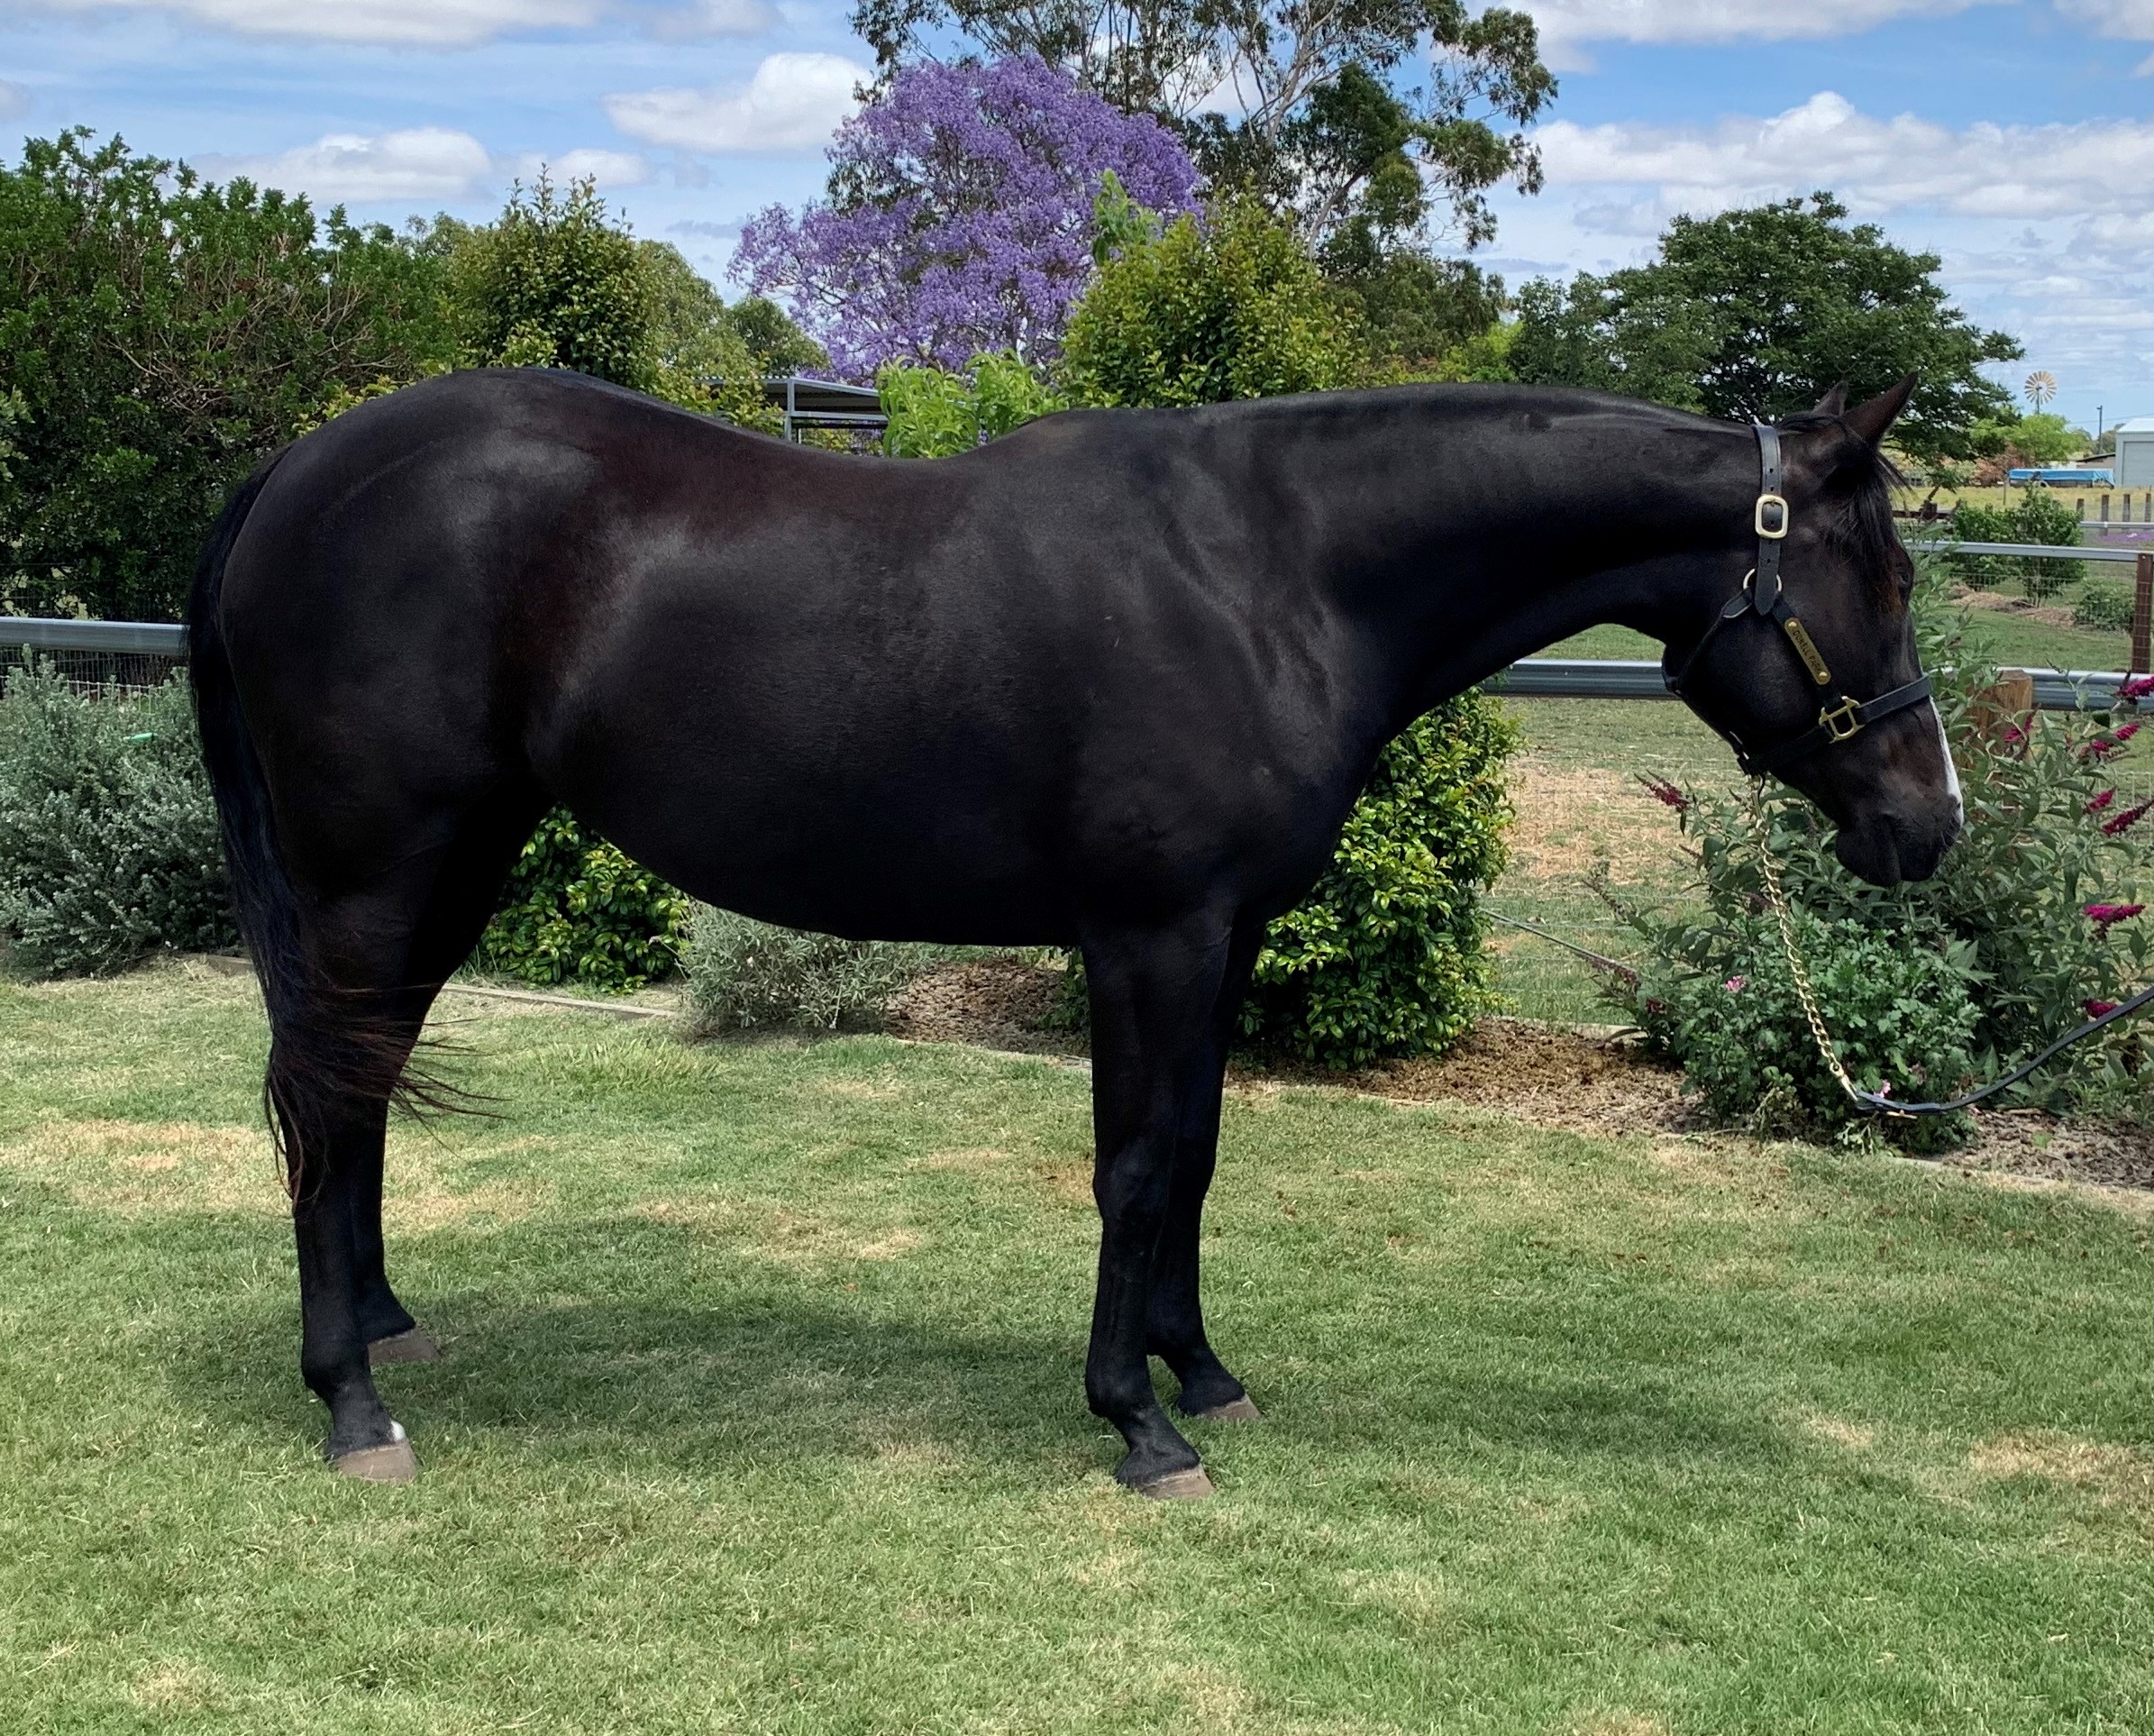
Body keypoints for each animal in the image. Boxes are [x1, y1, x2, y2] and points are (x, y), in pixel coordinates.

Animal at [188, 369, 1959, 1496]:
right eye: (1879, 573)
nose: (1926, 826)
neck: (1273, 573)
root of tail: (299, 472)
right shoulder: (1147, 936)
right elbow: (1133, 1166)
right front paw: (1140, 1427)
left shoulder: (1221, 938)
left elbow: (1198, 1155)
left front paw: (1201, 1370)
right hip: (378, 867)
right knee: (331, 1097)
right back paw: (350, 1402)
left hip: (448, 864)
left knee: (359, 1087)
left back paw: (386, 1333)